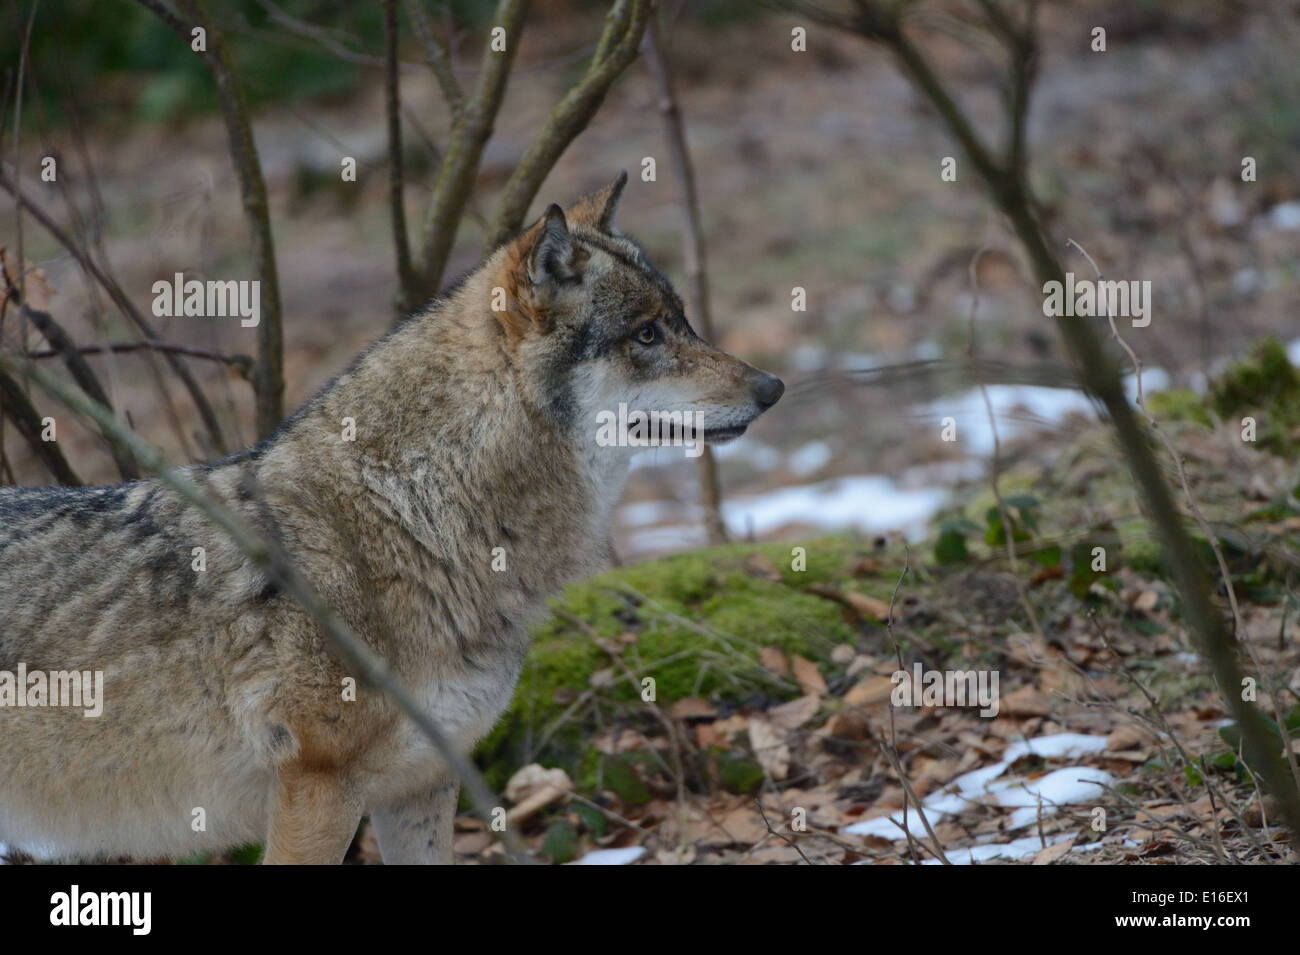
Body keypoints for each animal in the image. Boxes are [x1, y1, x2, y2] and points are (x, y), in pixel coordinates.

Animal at [0, 172, 783, 864]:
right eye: (646, 335)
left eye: (682, 321)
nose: (774, 387)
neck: (411, 516)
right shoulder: (319, 789)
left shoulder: (422, 784)